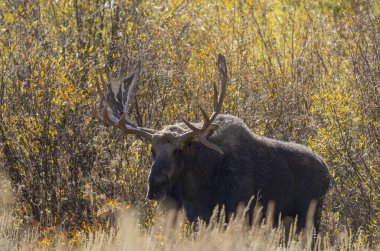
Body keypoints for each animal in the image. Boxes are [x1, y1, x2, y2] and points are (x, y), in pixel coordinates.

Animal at [94, 54, 330, 234]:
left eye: (179, 150)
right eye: (152, 150)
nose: (154, 186)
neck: (194, 188)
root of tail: (327, 173)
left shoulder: (236, 212)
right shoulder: (198, 218)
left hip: (309, 218)